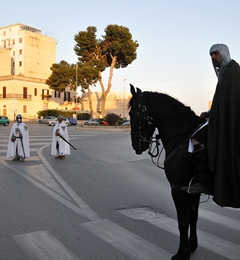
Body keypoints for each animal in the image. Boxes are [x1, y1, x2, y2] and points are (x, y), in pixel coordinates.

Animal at [129, 85, 202, 260]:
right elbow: (193, 217)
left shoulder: (178, 188)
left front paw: (182, 253)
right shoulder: (192, 189)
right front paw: (192, 245)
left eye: (133, 114)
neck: (183, 138)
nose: (136, 145)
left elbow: (183, 221)